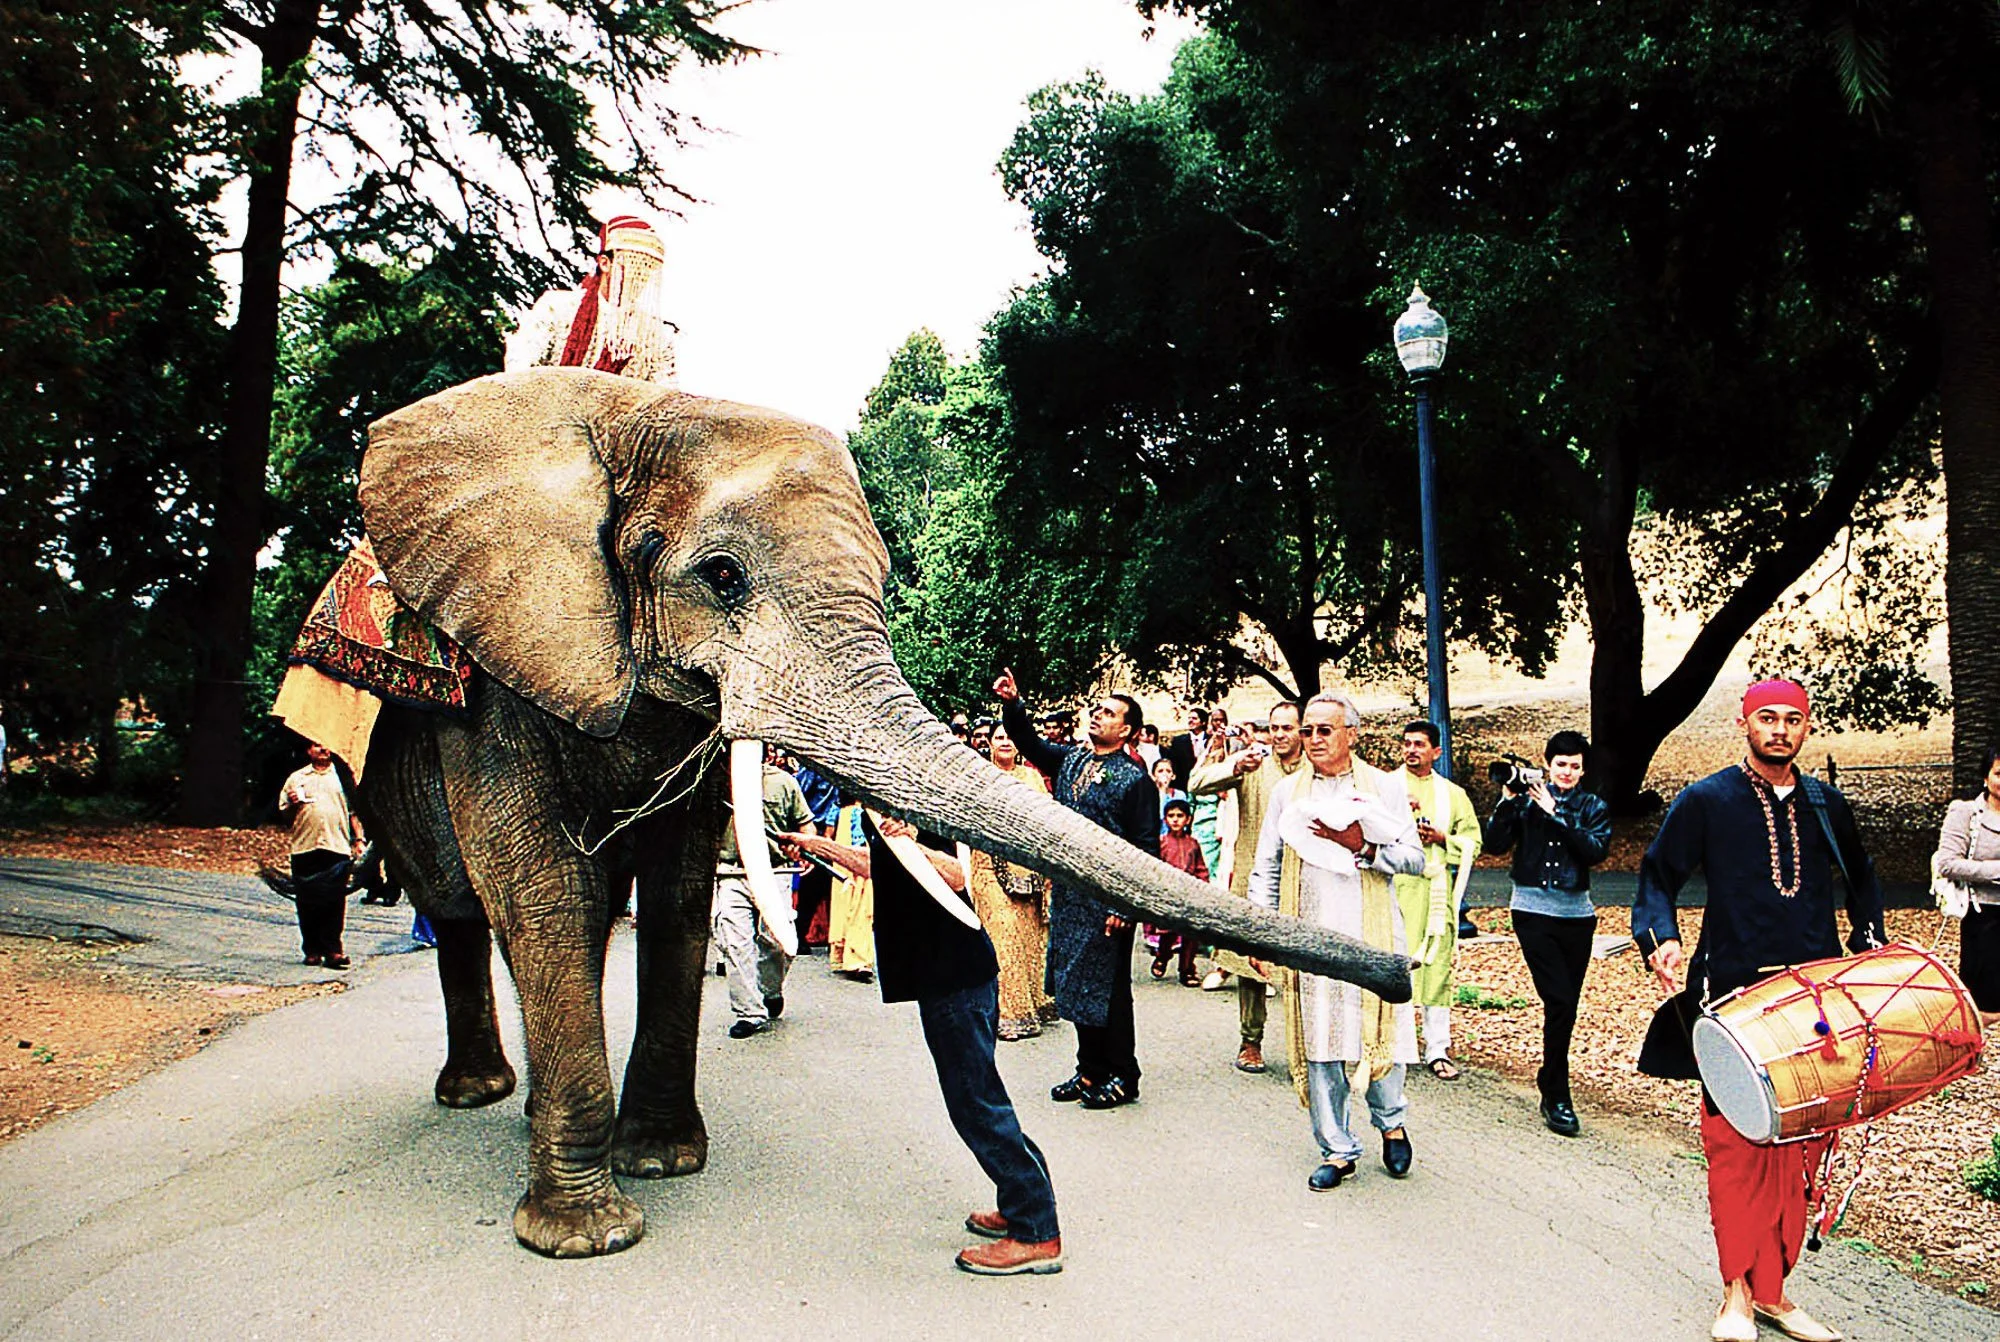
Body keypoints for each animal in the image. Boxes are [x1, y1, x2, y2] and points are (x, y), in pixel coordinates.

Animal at [349, 366, 1410, 1258]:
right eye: (722, 576)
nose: (1397, 977)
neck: (627, 412)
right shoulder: (501, 658)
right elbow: (550, 894)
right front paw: (588, 1237)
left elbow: (681, 889)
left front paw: (660, 1162)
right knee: (456, 907)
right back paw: (481, 1095)